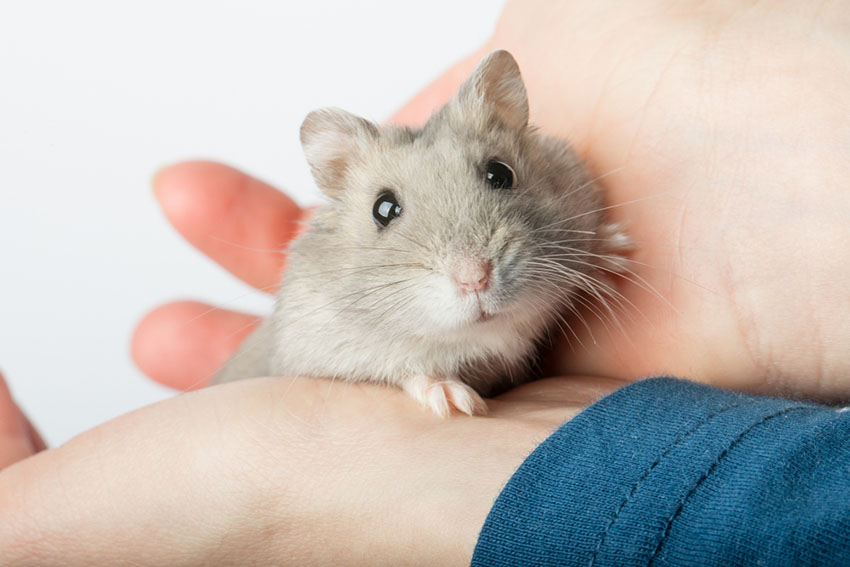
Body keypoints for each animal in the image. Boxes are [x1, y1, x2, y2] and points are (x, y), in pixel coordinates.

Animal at [209, 50, 628, 418]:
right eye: (383, 209)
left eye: (500, 173)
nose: (474, 278)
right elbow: (407, 371)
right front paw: (456, 402)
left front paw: (618, 251)